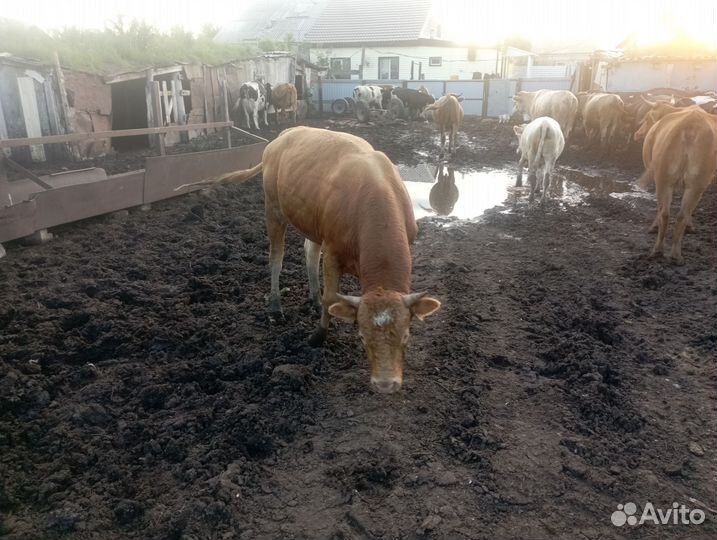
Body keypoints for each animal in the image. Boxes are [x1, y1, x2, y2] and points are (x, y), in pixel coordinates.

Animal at [176, 126, 440, 392]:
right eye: (362, 337)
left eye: (406, 335)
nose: (385, 385)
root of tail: (284, 135)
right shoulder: (333, 252)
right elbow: (331, 297)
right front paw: (317, 337)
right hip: (273, 208)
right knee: (276, 258)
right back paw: (275, 307)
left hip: (312, 222)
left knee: (310, 253)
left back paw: (314, 298)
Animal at [636, 106, 716, 262]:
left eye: (647, 118)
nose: (637, 134)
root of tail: (691, 123)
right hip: (691, 182)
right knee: (675, 213)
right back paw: (671, 253)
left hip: (667, 178)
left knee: (668, 213)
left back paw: (663, 251)